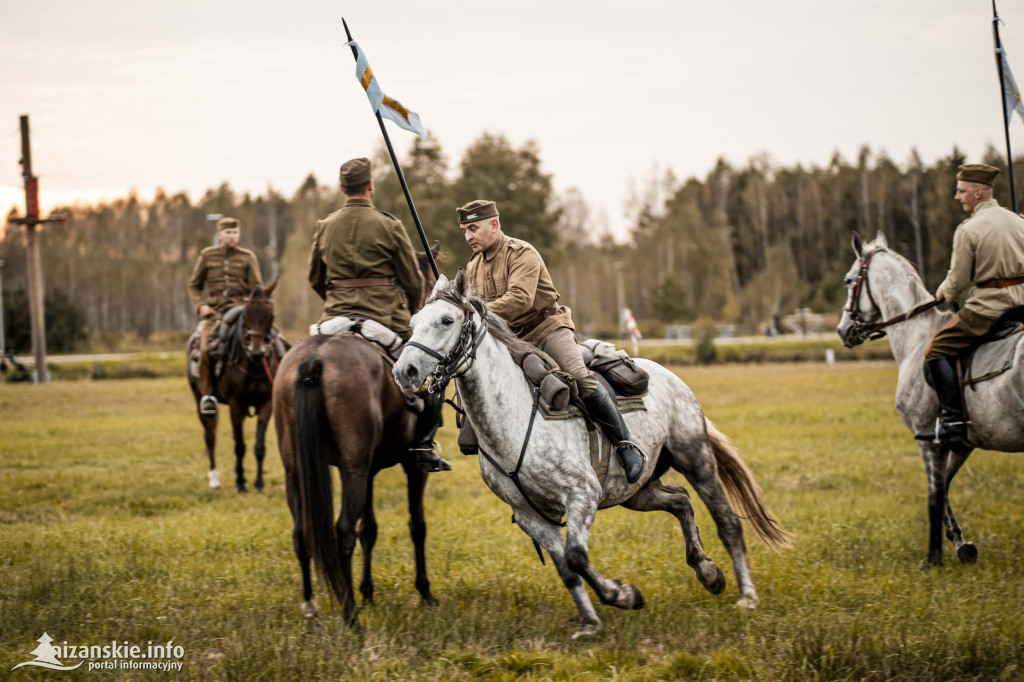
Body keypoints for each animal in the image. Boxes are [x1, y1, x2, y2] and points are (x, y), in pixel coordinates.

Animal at [188, 278, 282, 491]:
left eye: (271, 315)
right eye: (246, 314)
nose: (257, 351)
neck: (253, 366)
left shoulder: (266, 405)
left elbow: (259, 446)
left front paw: (258, 483)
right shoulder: (236, 406)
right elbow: (239, 446)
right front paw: (240, 483)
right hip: (200, 401)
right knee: (210, 438)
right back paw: (214, 480)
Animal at [274, 242, 442, 622]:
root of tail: (315, 360)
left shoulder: (368, 468)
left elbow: (371, 528)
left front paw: (368, 591)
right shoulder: (410, 468)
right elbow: (417, 525)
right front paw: (423, 591)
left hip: (298, 469)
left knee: (301, 531)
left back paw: (311, 605)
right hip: (352, 471)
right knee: (343, 531)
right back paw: (349, 613)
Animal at [393, 270, 790, 638]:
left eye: (447, 320)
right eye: (413, 322)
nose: (403, 371)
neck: (516, 416)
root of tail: (668, 376)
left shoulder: (581, 495)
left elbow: (577, 557)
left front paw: (624, 595)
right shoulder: (530, 516)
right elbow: (568, 569)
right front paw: (590, 622)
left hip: (696, 460)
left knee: (728, 522)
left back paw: (746, 595)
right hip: (636, 491)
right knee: (680, 501)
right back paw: (707, 571)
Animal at [835, 232, 1024, 561]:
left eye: (848, 280)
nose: (842, 330)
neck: (915, 336)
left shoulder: (928, 438)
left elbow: (934, 494)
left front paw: (934, 557)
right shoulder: (961, 442)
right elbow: (944, 485)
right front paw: (960, 543)